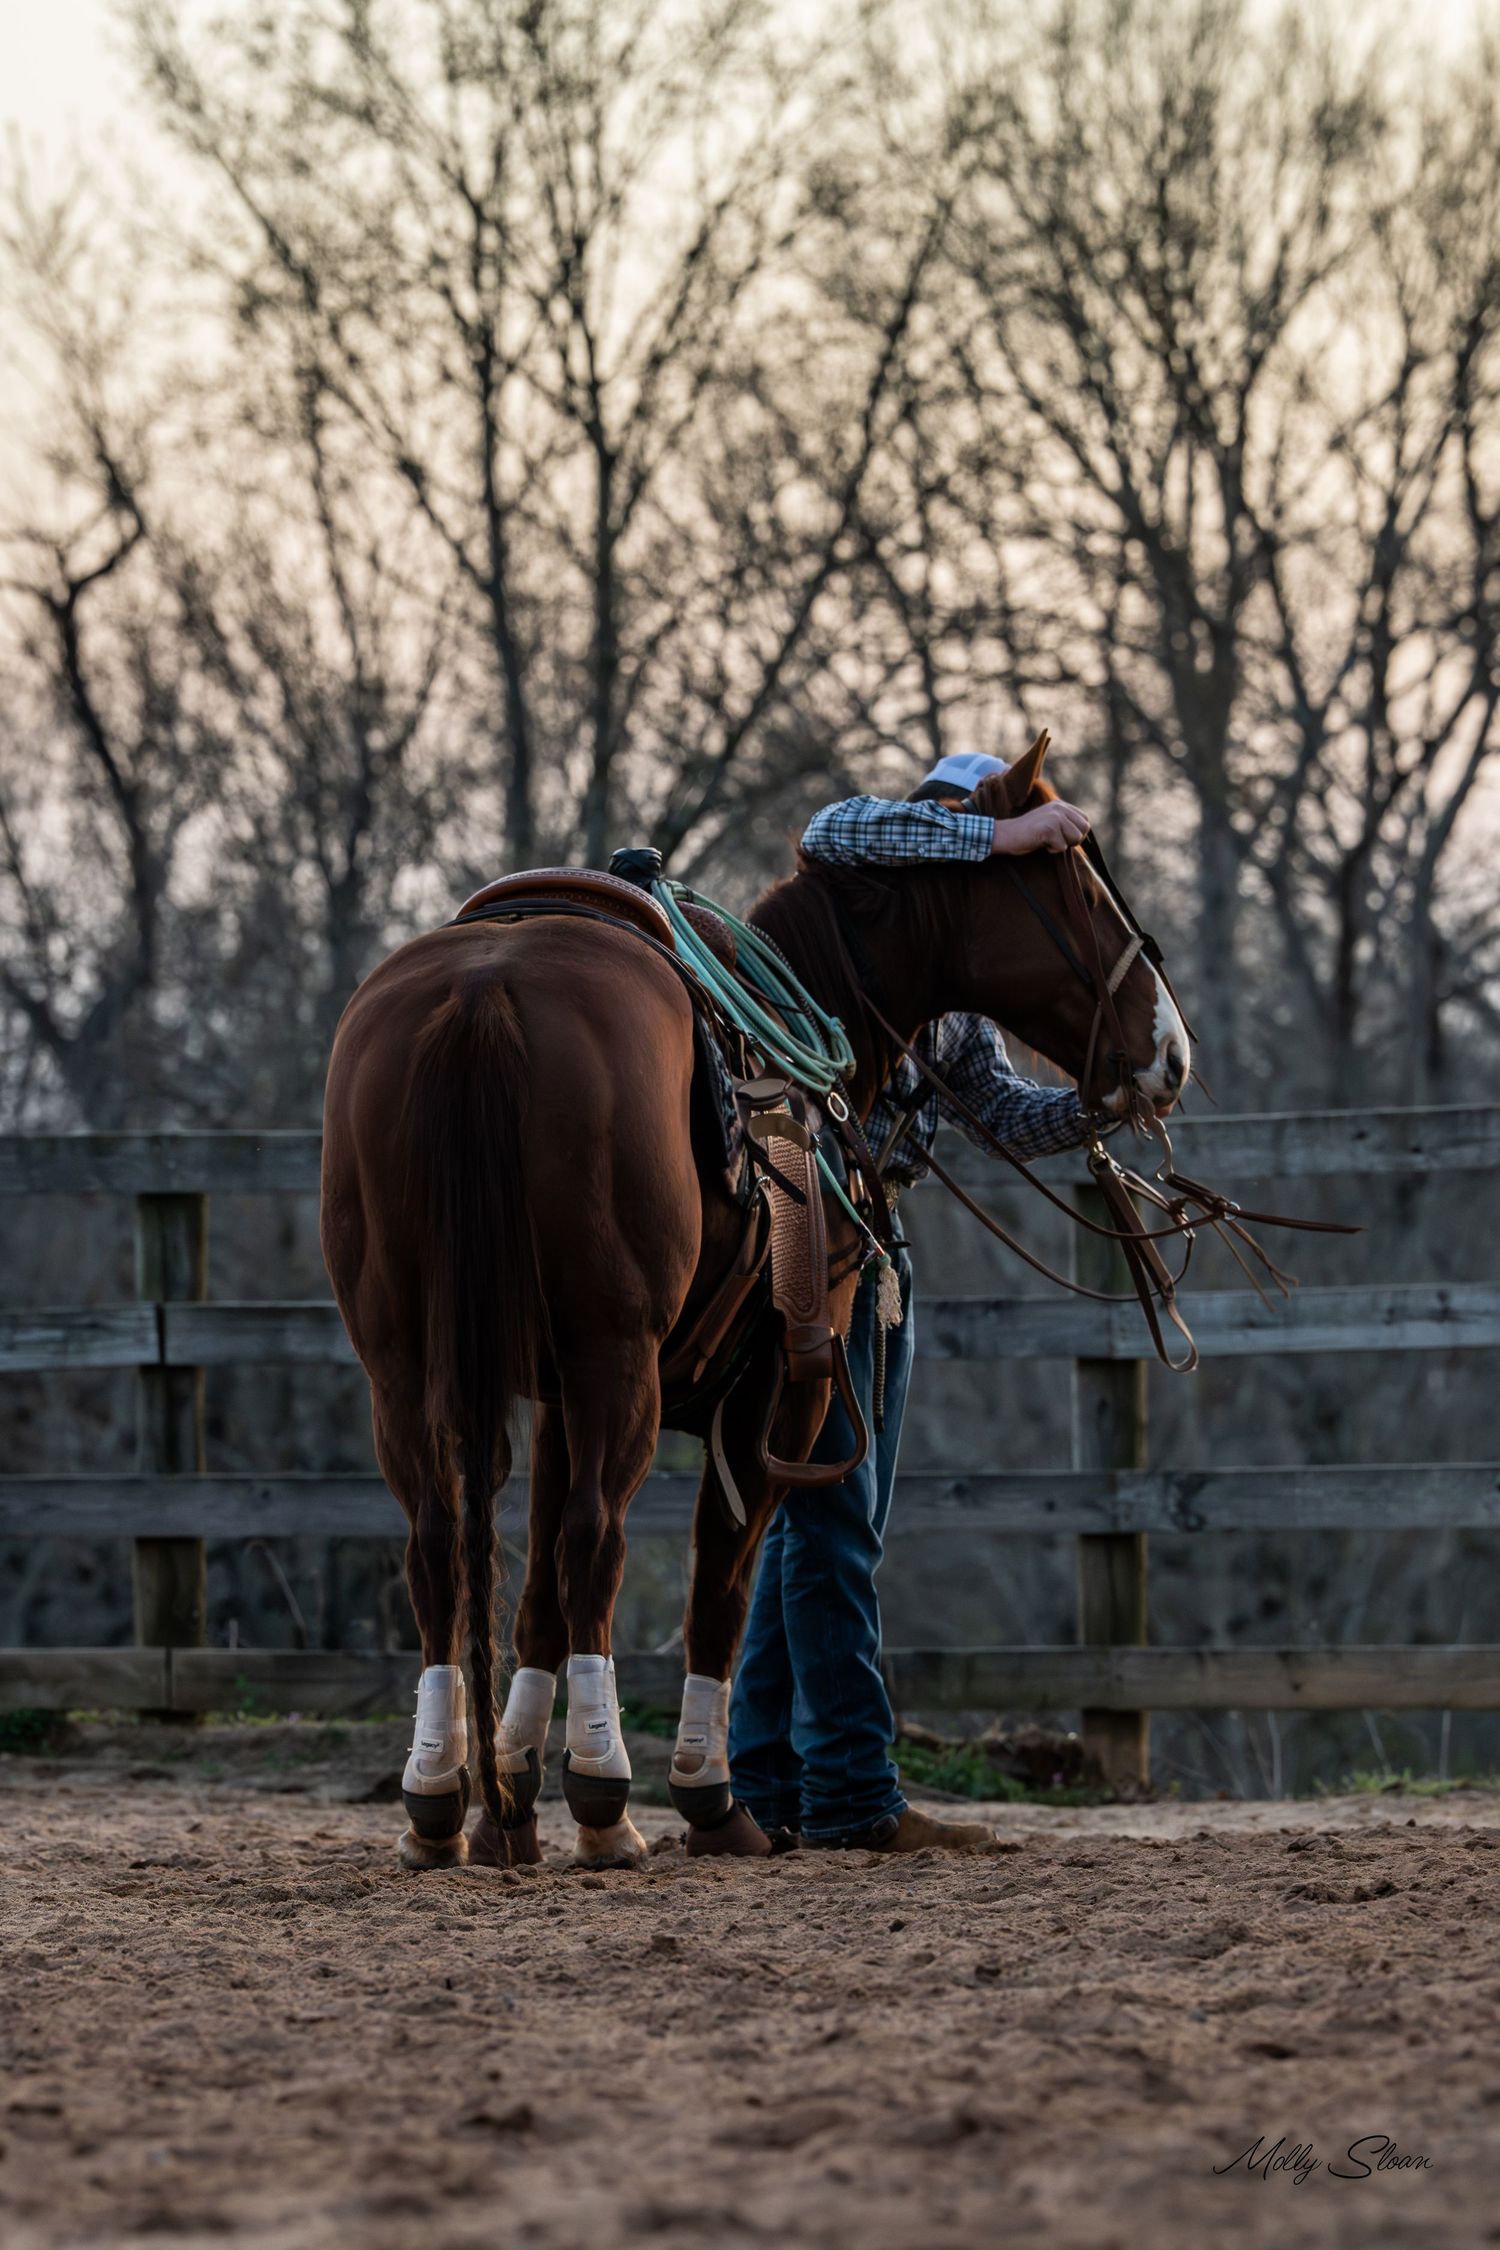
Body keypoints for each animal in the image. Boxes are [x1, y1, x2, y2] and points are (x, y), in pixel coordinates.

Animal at [319, 733, 1189, 1871]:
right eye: (1073, 883)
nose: (1170, 1054)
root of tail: (485, 994)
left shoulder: (555, 1395)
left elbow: (540, 1589)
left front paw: (512, 1794)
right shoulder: (782, 1383)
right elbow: (721, 1586)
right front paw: (707, 1798)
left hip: (408, 1362)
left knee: (440, 1540)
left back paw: (437, 1804)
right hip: (619, 1358)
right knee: (600, 1540)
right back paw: (609, 1803)